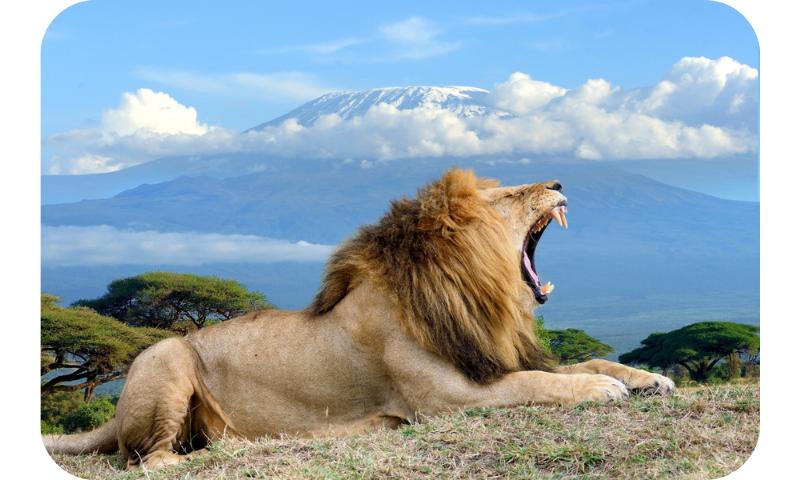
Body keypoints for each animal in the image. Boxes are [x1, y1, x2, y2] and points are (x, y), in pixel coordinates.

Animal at [44, 168, 674, 469]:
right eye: (511, 196)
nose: (560, 183)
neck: (473, 294)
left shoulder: (489, 357)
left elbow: (583, 358)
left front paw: (648, 378)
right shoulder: (447, 399)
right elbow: (539, 383)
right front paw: (602, 390)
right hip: (166, 357)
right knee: (148, 461)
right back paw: (227, 451)